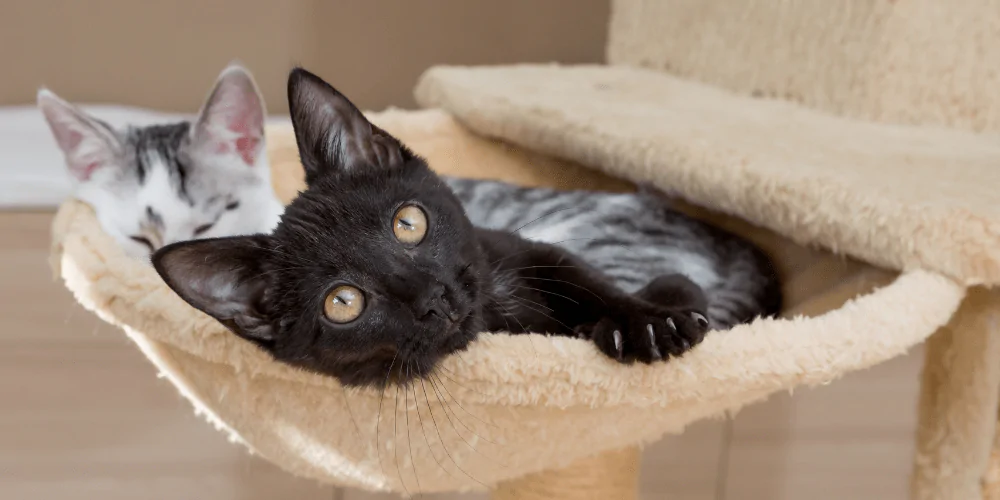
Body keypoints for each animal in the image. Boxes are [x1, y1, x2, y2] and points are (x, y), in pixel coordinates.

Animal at [150, 68, 712, 386]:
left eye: (408, 223)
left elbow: (591, 281)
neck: (499, 315)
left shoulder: (526, 251)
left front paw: (647, 322)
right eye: (343, 302)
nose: (432, 297)